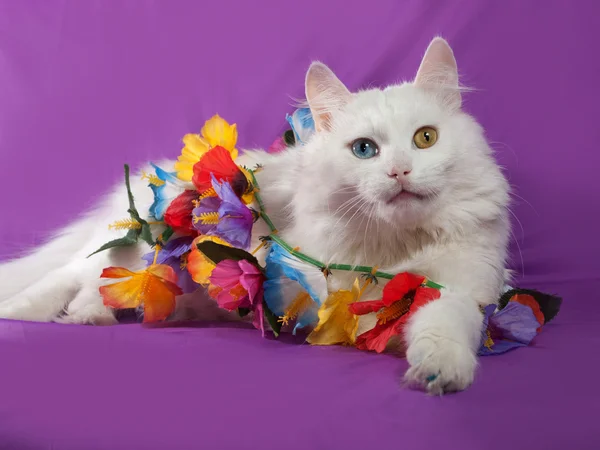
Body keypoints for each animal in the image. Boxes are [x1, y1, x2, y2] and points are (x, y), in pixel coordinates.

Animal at [0, 39, 510, 398]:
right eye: (365, 149)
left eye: (425, 139)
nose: (399, 171)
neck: (395, 247)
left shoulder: (458, 288)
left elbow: (443, 325)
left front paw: (439, 371)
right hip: (141, 250)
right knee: (77, 274)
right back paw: (42, 313)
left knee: (102, 284)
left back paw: (94, 316)